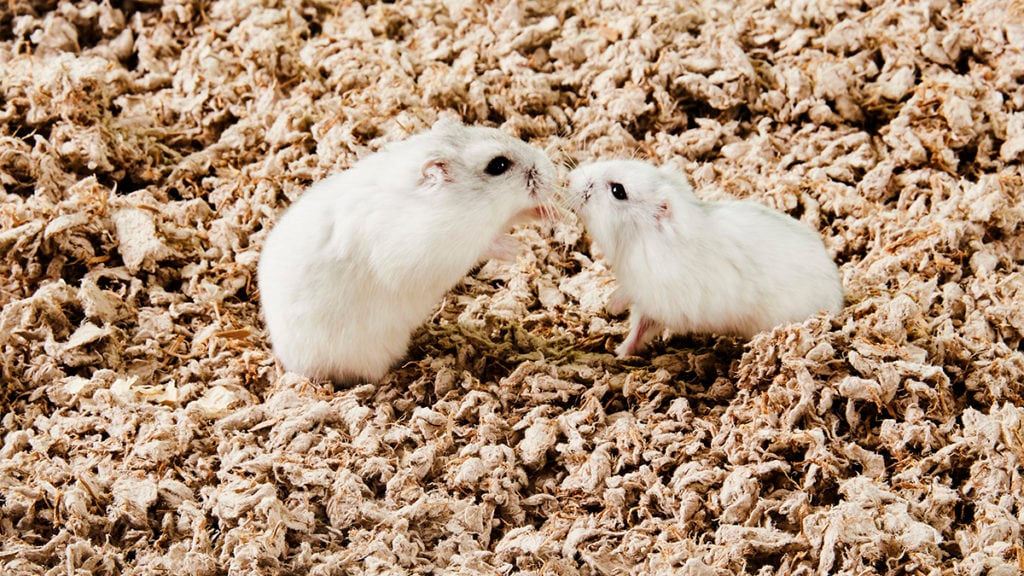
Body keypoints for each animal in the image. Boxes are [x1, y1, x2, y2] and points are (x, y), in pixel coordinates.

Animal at [260, 117, 557, 381]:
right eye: (498, 165)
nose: (552, 170)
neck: (456, 203)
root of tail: (291, 365)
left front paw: (546, 214)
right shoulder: (433, 251)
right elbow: (484, 244)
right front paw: (519, 249)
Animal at [565, 156, 843, 354]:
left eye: (618, 191)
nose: (568, 179)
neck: (642, 238)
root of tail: (840, 298)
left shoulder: (658, 297)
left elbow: (635, 314)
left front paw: (612, 315)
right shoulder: (648, 299)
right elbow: (636, 321)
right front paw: (616, 340)